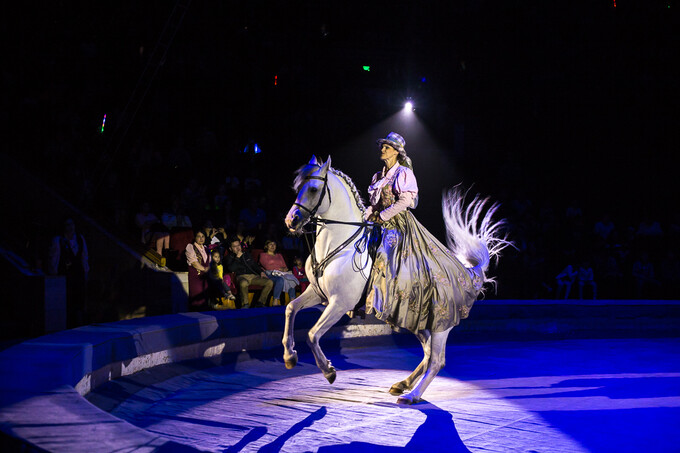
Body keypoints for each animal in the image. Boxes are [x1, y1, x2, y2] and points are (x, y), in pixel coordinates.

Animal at [282, 154, 510, 402]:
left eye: (313, 189)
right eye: (297, 187)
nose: (291, 221)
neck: (340, 244)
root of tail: (467, 274)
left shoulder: (340, 303)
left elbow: (313, 335)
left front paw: (328, 371)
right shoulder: (317, 292)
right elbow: (291, 309)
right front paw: (290, 357)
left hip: (441, 324)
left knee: (437, 360)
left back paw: (412, 395)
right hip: (420, 323)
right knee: (427, 354)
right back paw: (403, 384)